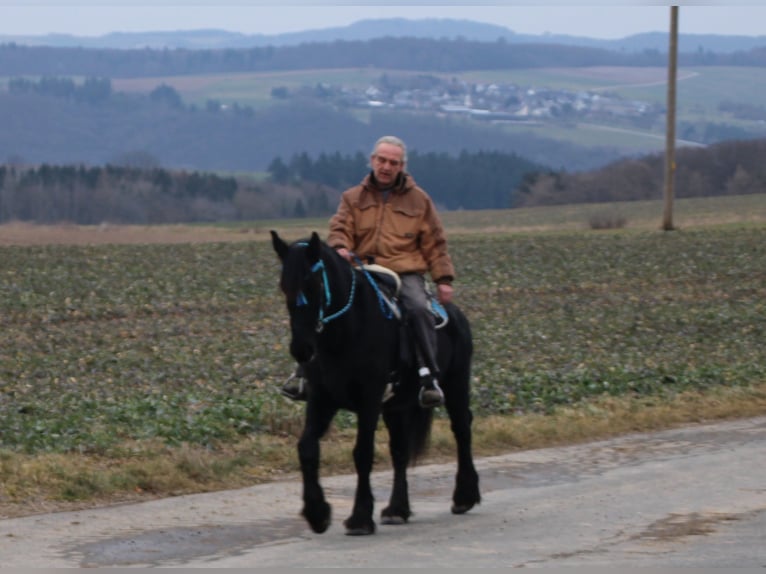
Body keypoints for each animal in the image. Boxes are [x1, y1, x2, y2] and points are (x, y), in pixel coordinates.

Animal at [272, 232, 480, 536]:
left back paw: (464, 496)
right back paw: (397, 509)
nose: (301, 349)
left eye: (314, 284)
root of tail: (453, 312)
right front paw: (317, 513)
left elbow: (363, 453)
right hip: (396, 407)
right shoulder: (321, 399)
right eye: (284, 285)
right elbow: (307, 447)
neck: (345, 333)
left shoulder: (368, 400)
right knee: (400, 451)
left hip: (456, 386)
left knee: (462, 430)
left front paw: (359, 518)